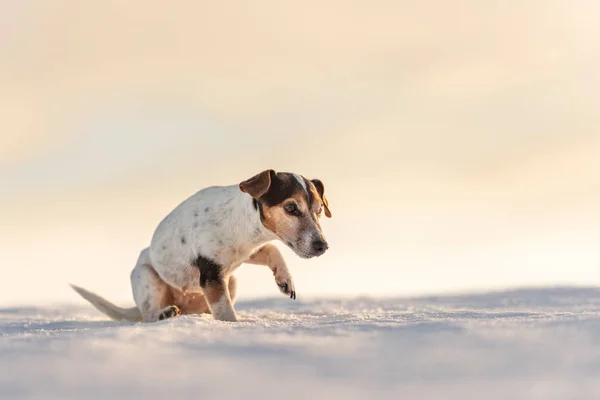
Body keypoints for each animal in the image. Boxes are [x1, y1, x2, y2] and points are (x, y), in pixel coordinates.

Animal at [72, 169, 332, 322]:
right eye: (291, 208)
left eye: (319, 210)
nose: (323, 246)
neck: (242, 226)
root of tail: (183, 303)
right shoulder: (211, 273)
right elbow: (224, 310)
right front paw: (235, 325)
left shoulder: (247, 253)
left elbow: (272, 249)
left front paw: (285, 280)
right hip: (147, 278)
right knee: (148, 314)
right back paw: (163, 313)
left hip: (232, 282)